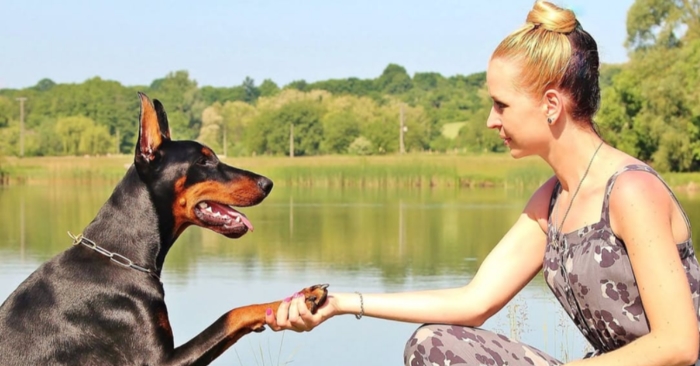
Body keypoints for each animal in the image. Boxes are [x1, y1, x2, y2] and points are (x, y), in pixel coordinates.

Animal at [0, 93, 328, 364]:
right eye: (204, 161)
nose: (267, 183)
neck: (121, 258)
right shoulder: (159, 361)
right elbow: (232, 314)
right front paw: (302, 298)